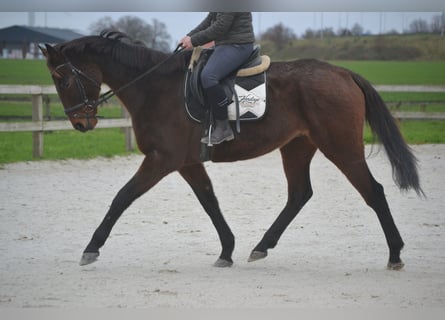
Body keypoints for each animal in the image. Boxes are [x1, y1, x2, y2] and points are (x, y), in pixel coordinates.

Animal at [40, 31, 422, 270]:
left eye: (61, 78)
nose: (81, 123)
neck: (153, 87)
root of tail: (343, 73)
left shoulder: (162, 160)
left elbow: (122, 197)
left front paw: (91, 249)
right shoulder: (187, 162)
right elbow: (209, 201)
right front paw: (227, 249)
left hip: (341, 147)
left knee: (373, 191)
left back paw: (395, 254)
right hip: (297, 147)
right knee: (299, 194)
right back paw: (261, 246)